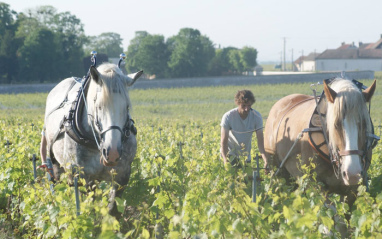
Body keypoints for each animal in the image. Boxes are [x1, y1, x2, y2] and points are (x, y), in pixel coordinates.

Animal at [43, 62, 142, 216]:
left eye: (126, 107)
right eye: (99, 106)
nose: (112, 152)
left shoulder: (123, 175)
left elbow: (113, 211)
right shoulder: (79, 176)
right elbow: (86, 206)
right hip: (56, 164)